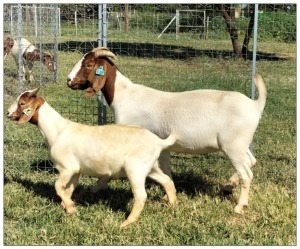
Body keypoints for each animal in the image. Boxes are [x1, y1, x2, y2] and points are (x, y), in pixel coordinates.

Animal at [7, 87, 177, 228]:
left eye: (22, 103)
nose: (8, 113)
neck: (58, 131)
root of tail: (158, 141)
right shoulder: (76, 171)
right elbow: (68, 189)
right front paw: (68, 206)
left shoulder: (67, 167)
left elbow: (58, 187)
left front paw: (71, 209)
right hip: (150, 166)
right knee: (167, 181)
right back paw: (173, 205)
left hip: (135, 168)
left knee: (141, 196)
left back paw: (127, 223)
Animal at [66, 47, 268, 214]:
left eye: (89, 64)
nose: (68, 80)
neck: (125, 96)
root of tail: (255, 105)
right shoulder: (162, 146)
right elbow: (167, 170)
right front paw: (167, 196)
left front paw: (96, 188)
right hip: (241, 144)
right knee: (251, 161)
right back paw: (229, 186)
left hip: (232, 145)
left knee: (246, 174)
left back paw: (240, 206)